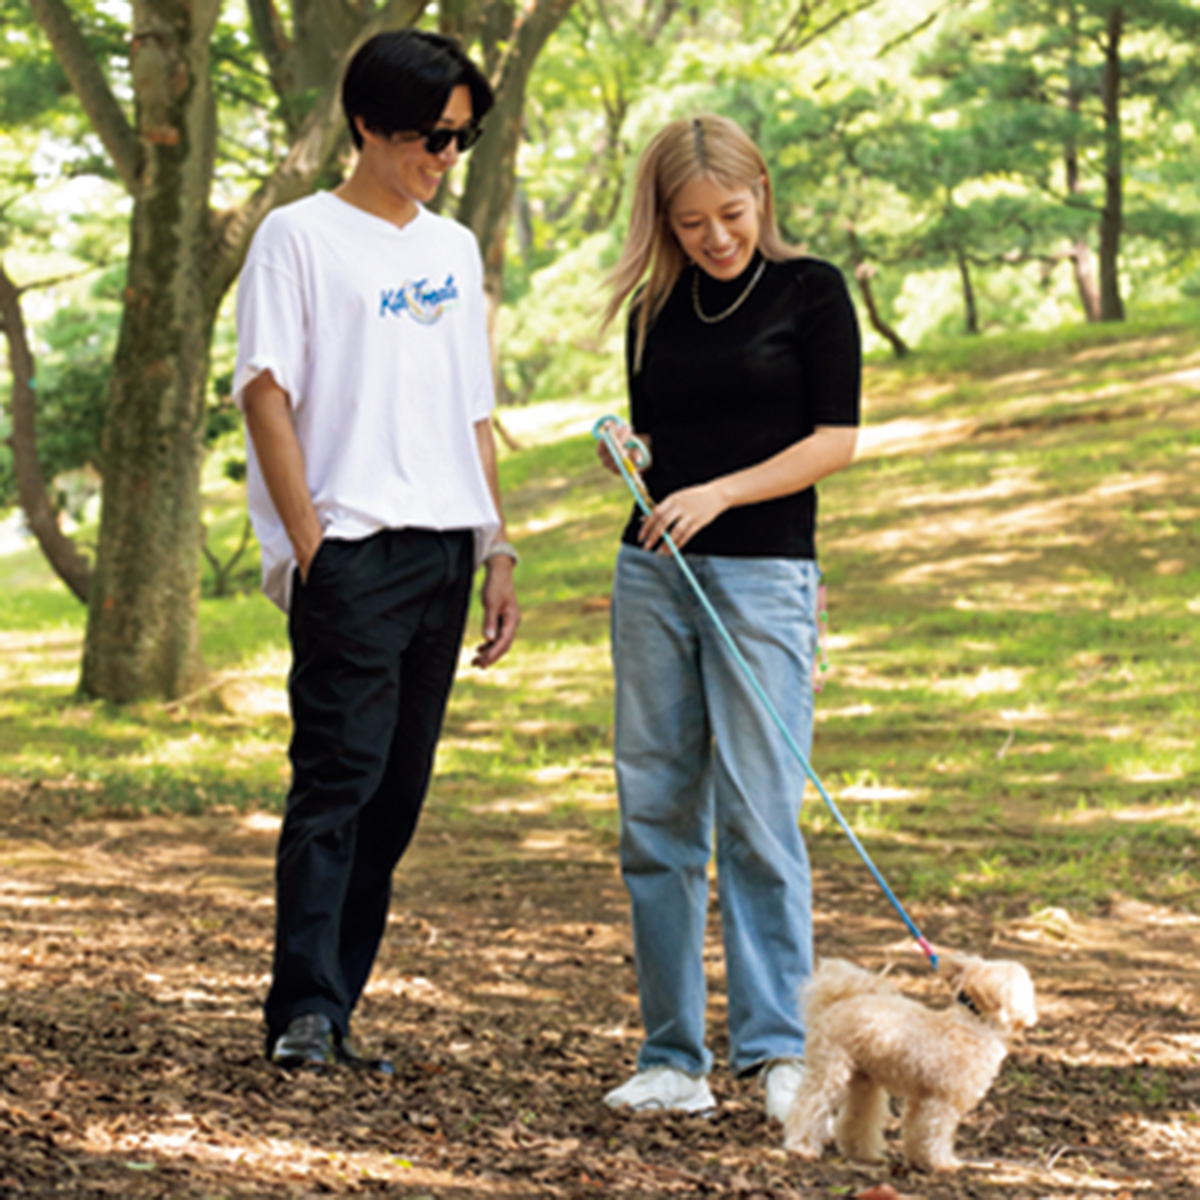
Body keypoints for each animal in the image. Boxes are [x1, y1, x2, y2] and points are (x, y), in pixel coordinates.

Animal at [782, 950, 1036, 1166]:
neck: (973, 1024)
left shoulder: (923, 1098)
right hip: (830, 1070)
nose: (1033, 1015)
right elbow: (937, 1132)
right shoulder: (942, 1100)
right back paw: (801, 1147)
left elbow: (916, 1130)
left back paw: (863, 1154)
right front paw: (942, 1163)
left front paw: (918, 1160)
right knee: (809, 1106)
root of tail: (835, 1003)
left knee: (857, 1116)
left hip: (863, 1080)